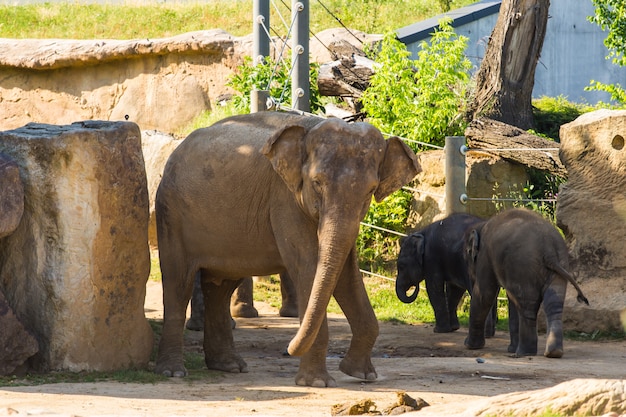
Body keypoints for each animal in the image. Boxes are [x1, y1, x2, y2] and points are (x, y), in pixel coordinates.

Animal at [155, 111, 420, 386]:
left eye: (370, 190)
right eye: (317, 183)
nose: (288, 349)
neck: (312, 127)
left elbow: (346, 273)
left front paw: (362, 374)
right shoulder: (284, 199)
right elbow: (309, 265)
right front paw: (317, 383)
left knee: (220, 288)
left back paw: (230, 366)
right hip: (171, 212)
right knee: (178, 283)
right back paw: (173, 372)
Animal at [460, 208, 588, 358]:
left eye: (467, 255)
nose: (470, 274)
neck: (482, 224)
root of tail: (548, 249)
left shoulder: (485, 255)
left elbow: (484, 295)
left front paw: (469, 345)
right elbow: (509, 298)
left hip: (523, 264)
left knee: (527, 307)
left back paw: (523, 353)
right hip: (559, 263)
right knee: (553, 303)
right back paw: (553, 352)